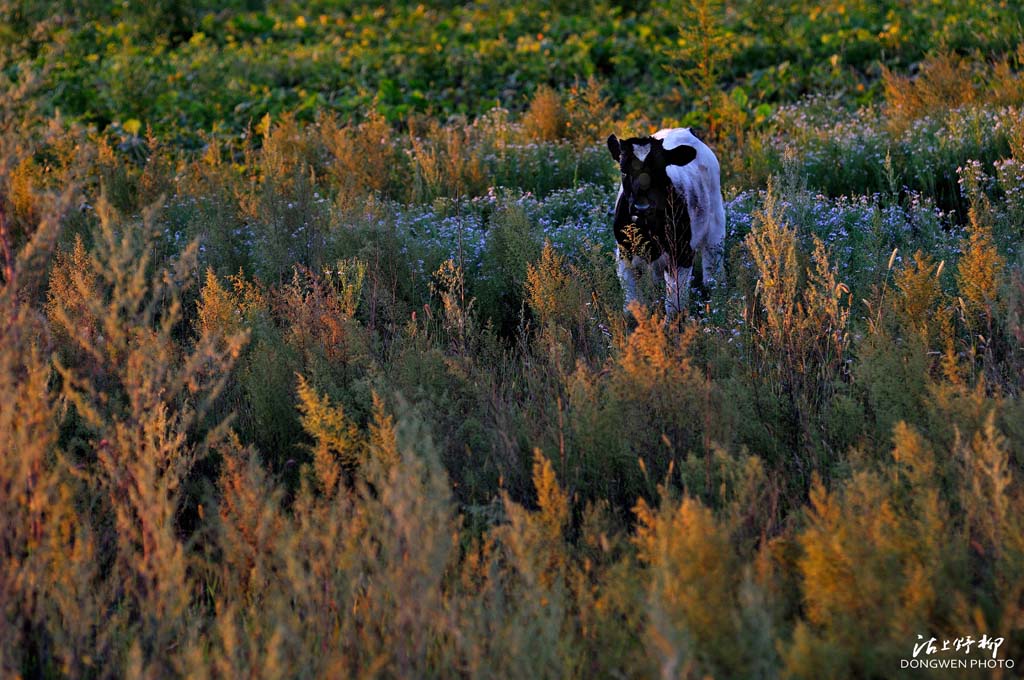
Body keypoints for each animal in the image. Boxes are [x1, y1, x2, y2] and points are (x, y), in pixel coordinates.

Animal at [606, 126, 729, 315]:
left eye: (659, 170)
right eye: (624, 171)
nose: (642, 207)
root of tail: (684, 130)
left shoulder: (682, 254)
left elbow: (674, 306)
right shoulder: (624, 255)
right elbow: (631, 304)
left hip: (716, 227)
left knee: (711, 275)